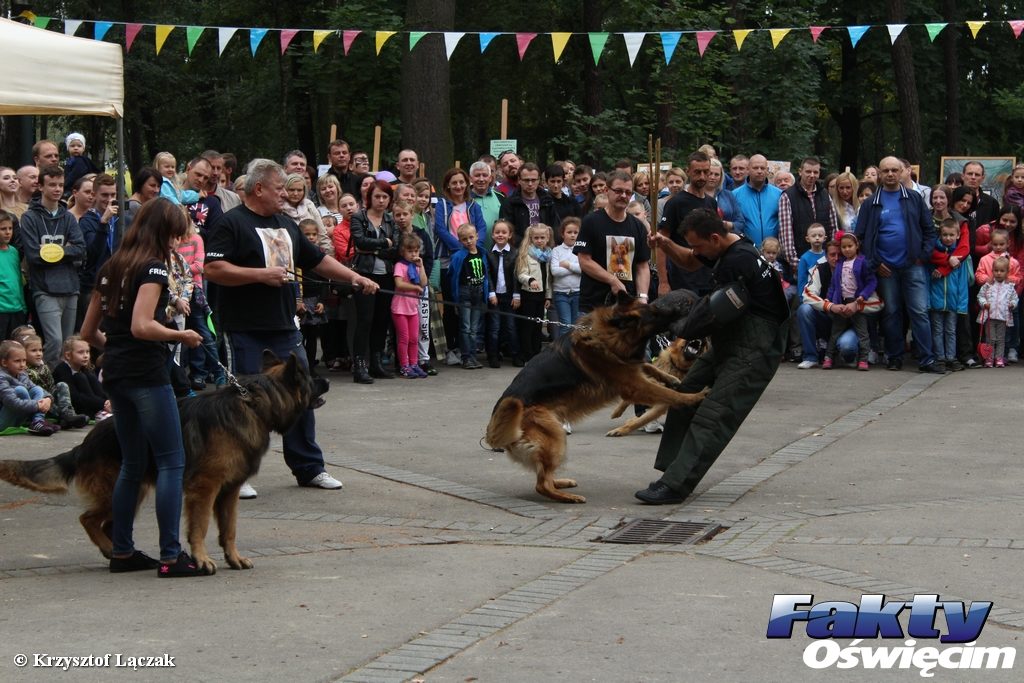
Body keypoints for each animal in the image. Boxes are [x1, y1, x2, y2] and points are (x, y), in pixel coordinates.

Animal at [0, 352, 315, 577]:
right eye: (309, 378)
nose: (322, 382)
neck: (255, 406)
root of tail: (85, 443)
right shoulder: (205, 489)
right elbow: (200, 527)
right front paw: (202, 559)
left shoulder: (229, 491)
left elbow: (230, 529)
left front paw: (233, 558)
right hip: (118, 490)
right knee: (88, 519)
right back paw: (110, 551)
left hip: (133, 490)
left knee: (110, 523)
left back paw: (125, 556)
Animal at [483, 290, 708, 505]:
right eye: (654, 314)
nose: (685, 307)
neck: (608, 333)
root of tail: (495, 423)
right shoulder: (633, 385)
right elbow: (667, 393)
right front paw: (694, 396)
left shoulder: (629, 367)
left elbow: (648, 366)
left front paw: (671, 378)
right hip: (555, 436)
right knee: (541, 485)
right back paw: (568, 497)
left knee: (543, 476)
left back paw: (560, 483)